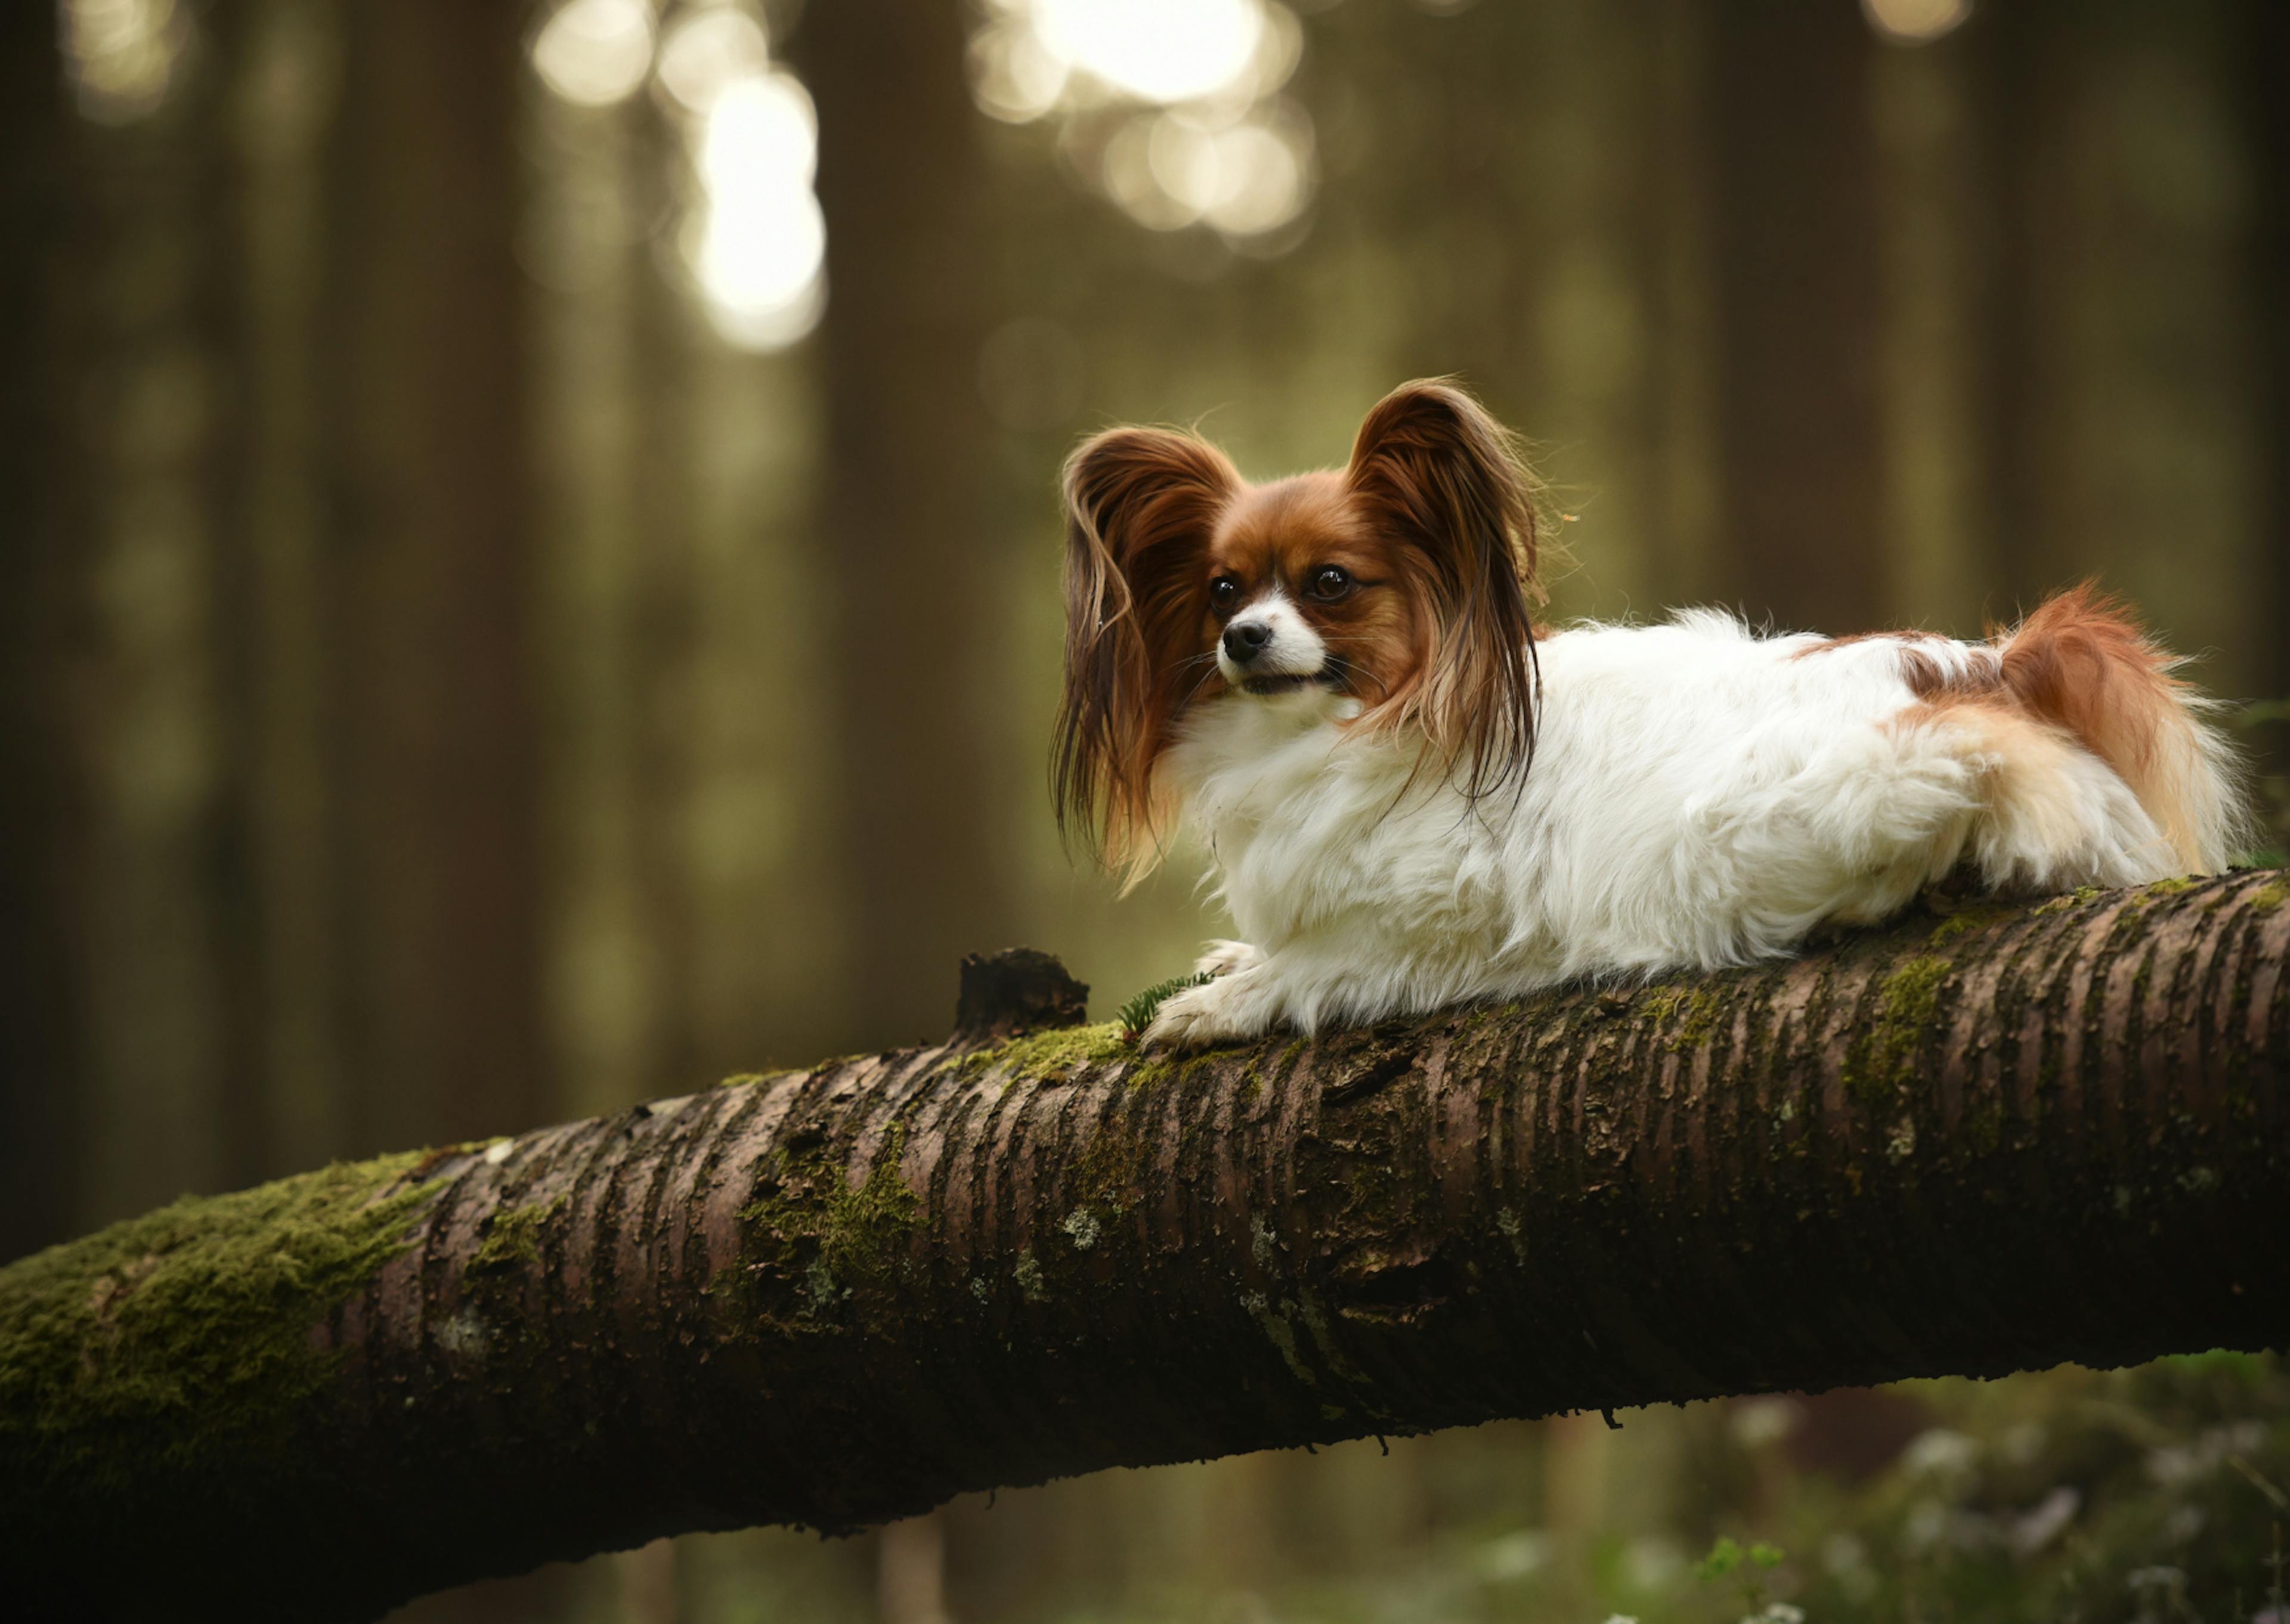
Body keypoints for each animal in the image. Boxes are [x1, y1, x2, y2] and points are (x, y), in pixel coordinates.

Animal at [1053, 380, 2253, 1053]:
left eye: (1331, 584)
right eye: (1223, 591)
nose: (1245, 640)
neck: (1370, 721)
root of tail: (1986, 665)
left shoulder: (1438, 918)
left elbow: (1324, 963)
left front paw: (1235, 996)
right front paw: (1231, 960)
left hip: (1814, 803)